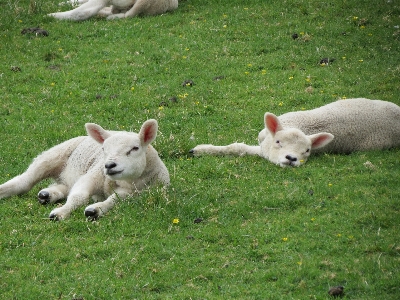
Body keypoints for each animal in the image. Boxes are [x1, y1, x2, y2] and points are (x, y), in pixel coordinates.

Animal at [0, 119, 170, 220]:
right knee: (24, 182)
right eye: (103, 149)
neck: (127, 181)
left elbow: (115, 199)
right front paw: (60, 213)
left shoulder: (136, 194)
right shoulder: (93, 175)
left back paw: (47, 195)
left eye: (135, 148)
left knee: (64, 186)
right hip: (52, 156)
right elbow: (78, 196)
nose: (109, 165)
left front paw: (94, 210)